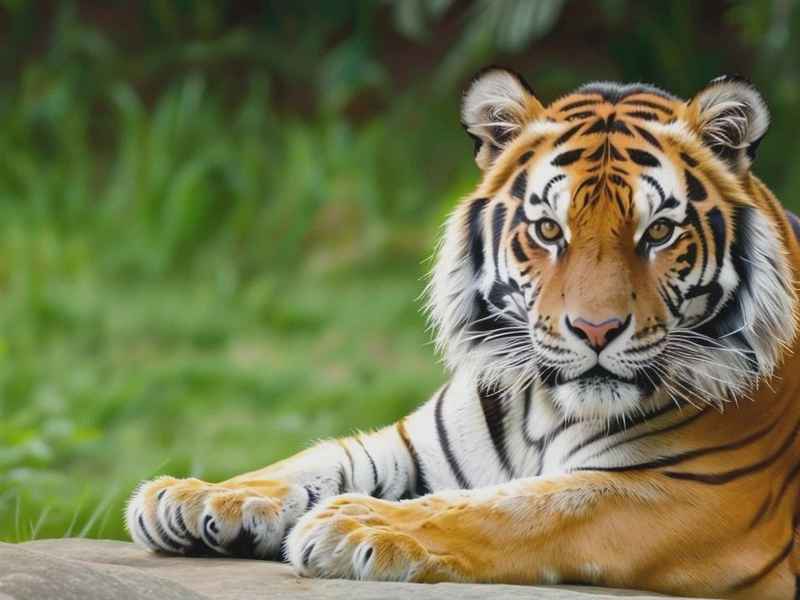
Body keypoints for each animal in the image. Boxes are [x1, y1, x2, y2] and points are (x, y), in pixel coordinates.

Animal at [125, 67, 800, 599]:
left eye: (658, 232)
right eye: (549, 231)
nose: (596, 329)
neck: (545, 407)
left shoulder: (701, 496)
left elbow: (528, 507)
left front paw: (360, 526)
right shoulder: (418, 444)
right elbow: (318, 457)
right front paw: (192, 496)